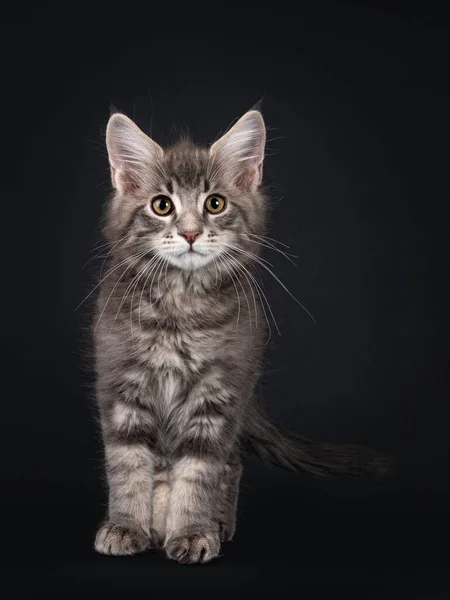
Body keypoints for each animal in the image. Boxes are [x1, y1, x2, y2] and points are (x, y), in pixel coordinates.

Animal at [93, 109, 388, 564]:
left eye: (215, 204)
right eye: (162, 205)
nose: (191, 233)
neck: (181, 309)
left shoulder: (221, 393)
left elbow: (199, 471)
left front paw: (192, 532)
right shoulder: (121, 384)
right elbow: (128, 465)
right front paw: (126, 527)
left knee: (230, 465)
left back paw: (214, 524)